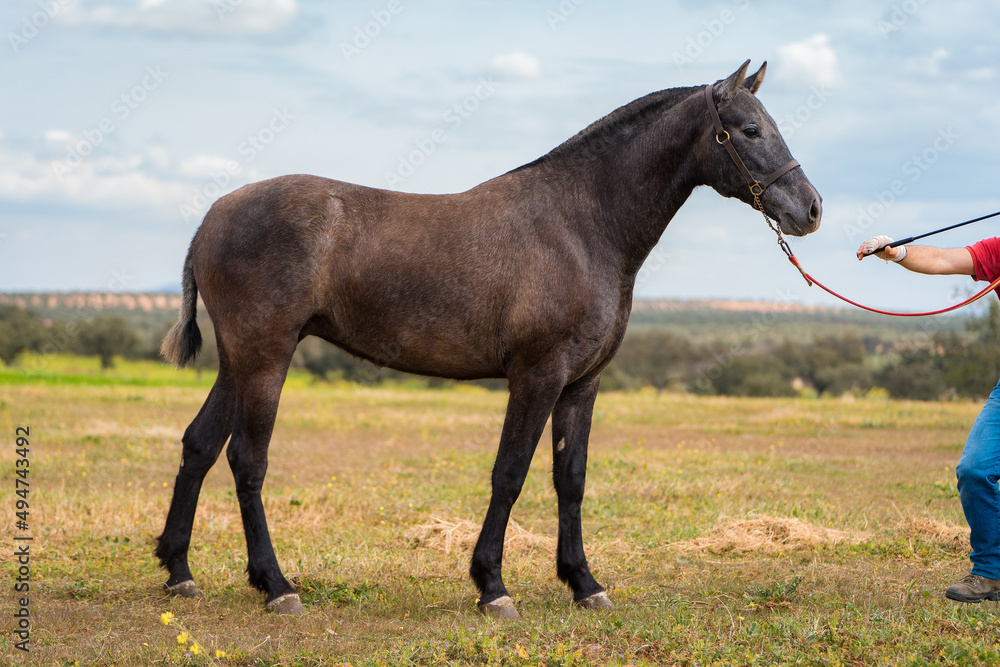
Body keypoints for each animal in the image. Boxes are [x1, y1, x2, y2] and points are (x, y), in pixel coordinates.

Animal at [156, 60, 821, 617]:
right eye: (748, 129)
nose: (810, 209)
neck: (582, 225)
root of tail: (212, 217)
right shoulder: (537, 376)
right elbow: (511, 473)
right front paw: (493, 587)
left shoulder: (582, 384)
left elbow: (570, 478)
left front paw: (584, 583)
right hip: (266, 358)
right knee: (247, 459)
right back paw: (276, 586)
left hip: (238, 363)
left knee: (199, 445)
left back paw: (179, 572)